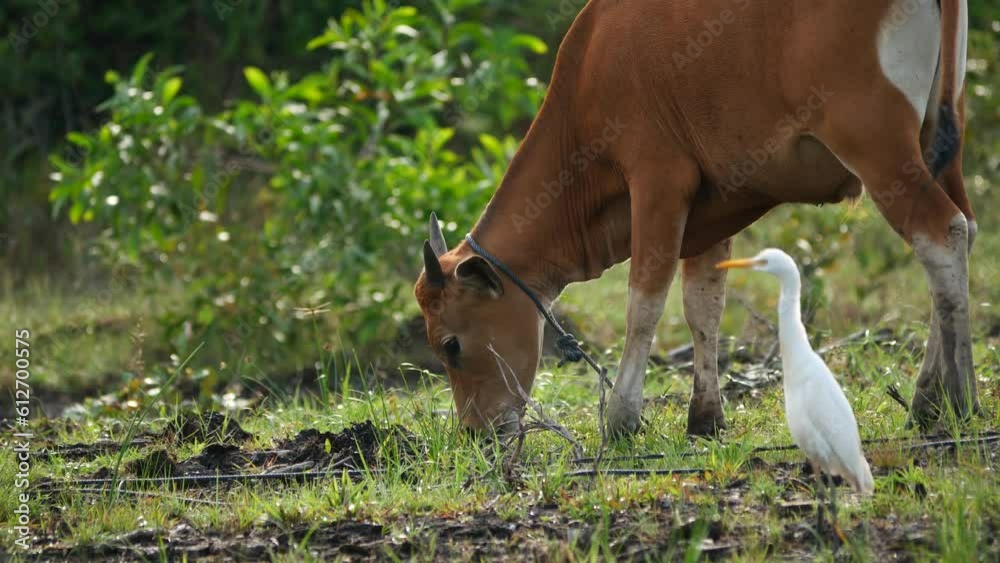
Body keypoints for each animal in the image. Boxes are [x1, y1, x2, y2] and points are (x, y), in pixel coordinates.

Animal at [414, 0, 977, 437]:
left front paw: (621, 418)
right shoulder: (714, 207)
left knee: (940, 233)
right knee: (961, 233)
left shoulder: (659, 180)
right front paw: (705, 417)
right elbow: (703, 304)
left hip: (875, 140)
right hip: (939, 138)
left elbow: (645, 302)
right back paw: (931, 400)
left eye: (450, 345)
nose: (474, 432)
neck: (593, 66)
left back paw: (959, 396)